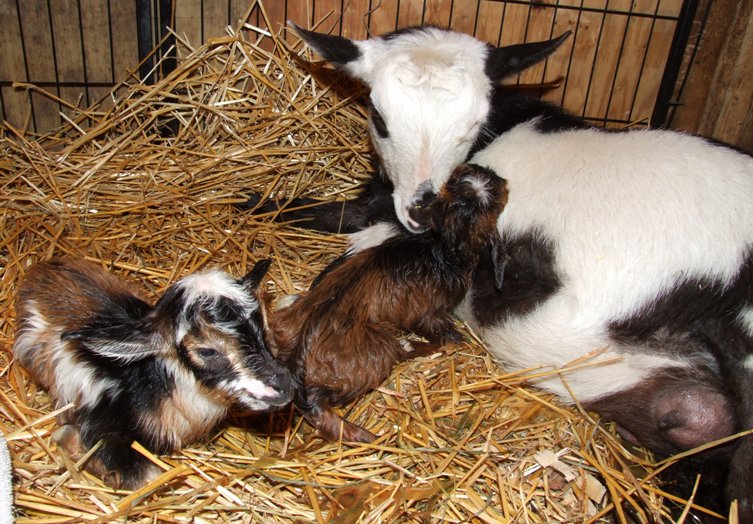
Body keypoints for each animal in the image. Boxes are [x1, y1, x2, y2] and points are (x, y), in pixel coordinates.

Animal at [13, 258, 292, 489]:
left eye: (262, 328)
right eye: (207, 351)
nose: (284, 385)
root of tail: (42, 268)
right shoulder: (98, 424)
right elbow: (148, 477)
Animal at [267, 164, 508, 443]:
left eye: (456, 178)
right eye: (495, 198)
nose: (492, 175)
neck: (439, 246)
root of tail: (297, 356)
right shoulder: (427, 312)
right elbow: (449, 339)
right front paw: (415, 345)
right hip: (376, 350)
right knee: (318, 402)